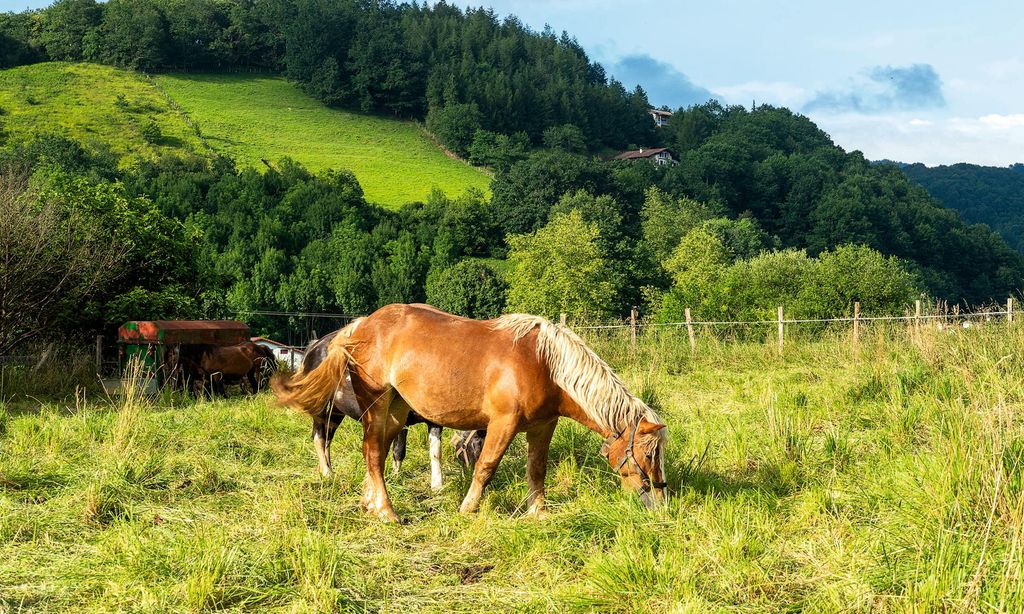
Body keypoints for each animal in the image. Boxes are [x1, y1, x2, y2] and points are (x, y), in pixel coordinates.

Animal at [274, 304, 671, 519]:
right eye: (648, 454)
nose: (661, 502)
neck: (545, 364)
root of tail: (358, 326)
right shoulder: (502, 424)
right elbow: (485, 466)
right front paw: (467, 508)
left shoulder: (543, 426)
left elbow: (536, 471)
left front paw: (539, 512)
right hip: (368, 406)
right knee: (368, 451)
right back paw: (387, 511)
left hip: (396, 413)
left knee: (378, 454)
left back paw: (370, 502)